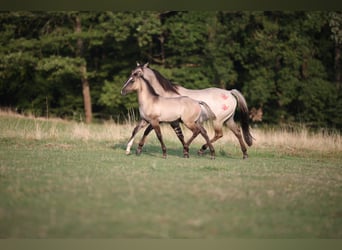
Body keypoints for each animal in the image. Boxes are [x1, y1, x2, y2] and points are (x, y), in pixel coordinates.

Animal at [126, 63, 254, 159]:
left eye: (136, 73)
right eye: (132, 72)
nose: (124, 87)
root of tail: (230, 92)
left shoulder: (168, 121)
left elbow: (177, 135)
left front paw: (185, 151)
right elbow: (140, 130)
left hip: (218, 121)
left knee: (219, 134)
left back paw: (202, 150)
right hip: (228, 120)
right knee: (237, 132)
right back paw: (245, 154)